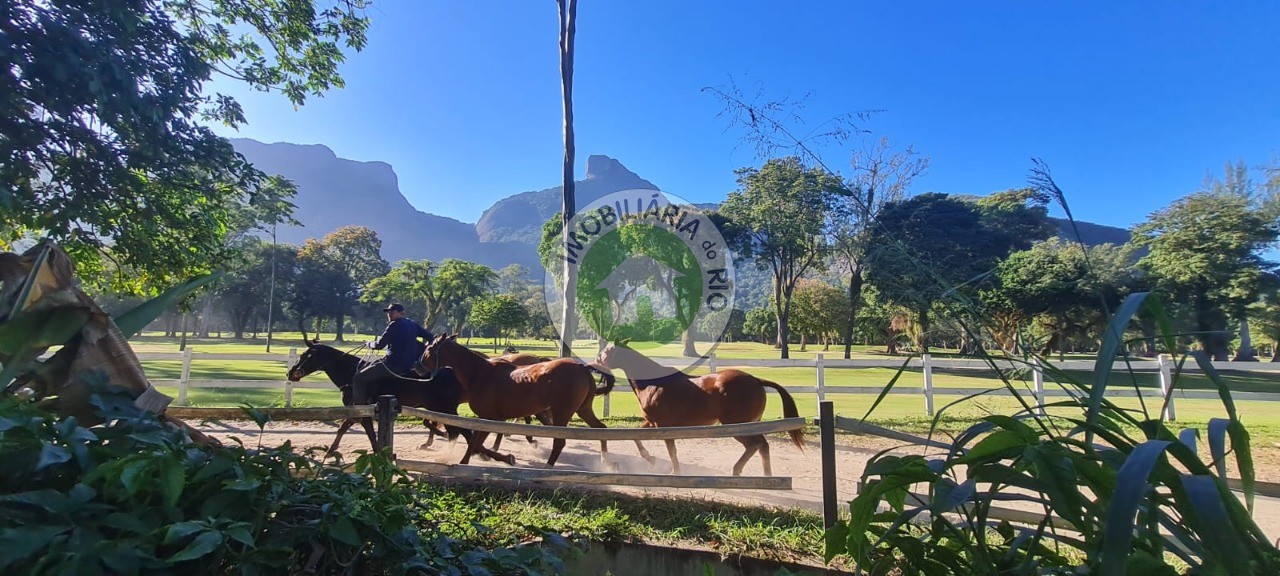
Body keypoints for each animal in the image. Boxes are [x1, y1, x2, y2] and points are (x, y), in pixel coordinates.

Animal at [286, 337, 514, 463]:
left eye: (307, 355)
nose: (290, 373)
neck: (352, 373)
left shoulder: (363, 411)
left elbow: (369, 434)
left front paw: (380, 454)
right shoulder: (356, 412)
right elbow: (344, 428)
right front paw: (330, 452)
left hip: (446, 408)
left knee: (464, 431)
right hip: (443, 408)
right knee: (461, 432)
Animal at [596, 343, 798, 476]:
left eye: (607, 350)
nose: (597, 359)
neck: (654, 384)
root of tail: (756, 380)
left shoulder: (663, 425)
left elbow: (672, 451)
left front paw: (675, 472)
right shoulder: (652, 422)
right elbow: (636, 437)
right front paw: (651, 459)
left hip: (737, 425)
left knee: (756, 445)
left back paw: (739, 471)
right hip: (750, 424)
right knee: (762, 446)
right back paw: (763, 476)